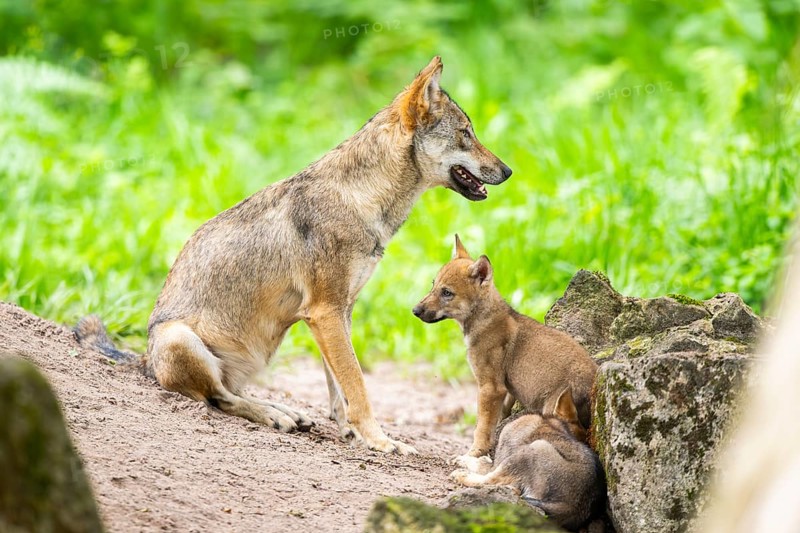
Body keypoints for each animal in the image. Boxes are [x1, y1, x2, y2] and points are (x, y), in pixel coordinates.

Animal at [75, 56, 512, 454]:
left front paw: (351, 432)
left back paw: (284, 411)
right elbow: (357, 384)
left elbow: (340, 388)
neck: (361, 199)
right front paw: (381, 440)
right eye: (466, 133)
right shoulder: (324, 312)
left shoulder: (340, 312)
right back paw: (275, 415)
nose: (508, 171)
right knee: (218, 398)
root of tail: (144, 361)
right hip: (180, 338)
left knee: (231, 392)